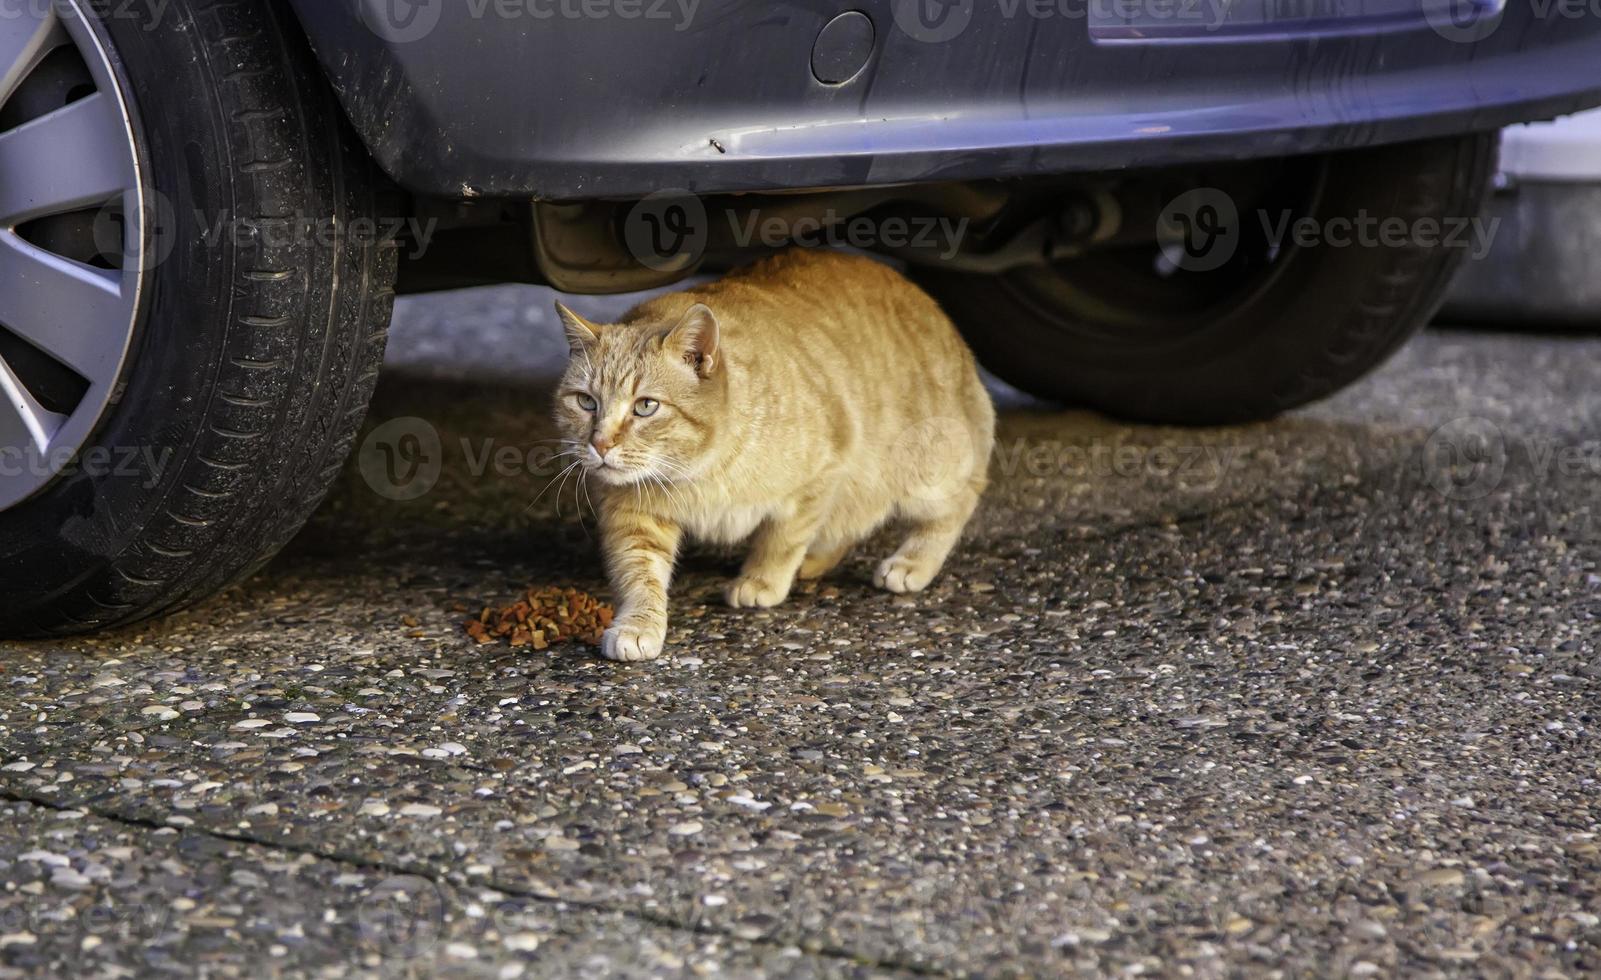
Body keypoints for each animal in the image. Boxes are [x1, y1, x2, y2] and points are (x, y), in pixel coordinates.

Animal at [557, 248, 992, 662]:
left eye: (645, 406)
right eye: (586, 402)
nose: (600, 444)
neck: (699, 471)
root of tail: (934, 309)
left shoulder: (821, 476)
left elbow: (781, 539)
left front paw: (762, 580)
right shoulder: (633, 516)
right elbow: (638, 576)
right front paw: (638, 624)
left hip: (923, 472)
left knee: (961, 499)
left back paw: (912, 563)